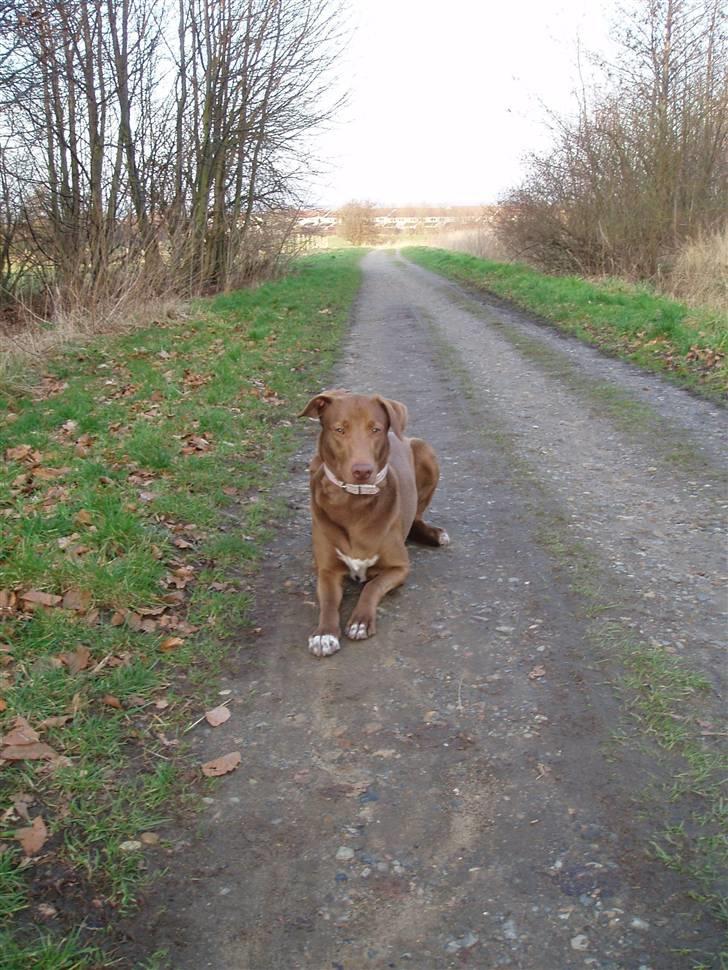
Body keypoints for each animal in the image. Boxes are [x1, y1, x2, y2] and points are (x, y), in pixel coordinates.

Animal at [298, 390, 446, 656]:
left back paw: (434, 535)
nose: (362, 471)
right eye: (339, 429)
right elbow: (328, 602)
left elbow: (372, 587)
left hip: (425, 450)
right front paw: (324, 634)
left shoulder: (399, 568)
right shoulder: (327, 571)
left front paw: (359, 621)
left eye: (375, 429)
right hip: (314, 463)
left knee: (417, 517)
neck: (353, 503)